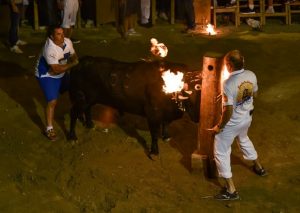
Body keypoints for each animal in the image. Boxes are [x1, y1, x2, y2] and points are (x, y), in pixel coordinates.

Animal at [67, 56, 200, 156]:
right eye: (189, 93)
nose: (198, 117)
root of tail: (79, 64)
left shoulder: (166, 114)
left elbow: (166, 124)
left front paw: (166, 137)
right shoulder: (152, 114)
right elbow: (154, 133)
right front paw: (154, 151)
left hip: (90, 99)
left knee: (87, 109)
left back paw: (90, 124)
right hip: (82, 98)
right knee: (73, 113)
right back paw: (72, 137)